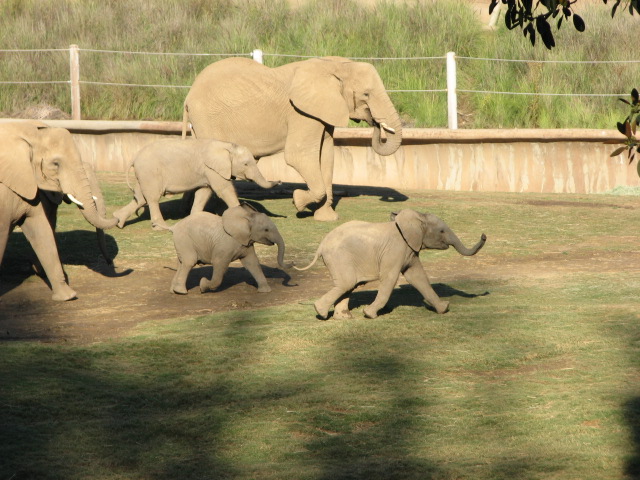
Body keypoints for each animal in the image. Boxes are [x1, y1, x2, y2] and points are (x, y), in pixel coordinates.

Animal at [112, 138, 281, 230]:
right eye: (246, 164)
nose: (278, 181)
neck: (226, 145)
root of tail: (134, 158)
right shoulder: (212, 168)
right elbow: (223, 189)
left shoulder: (207, 171)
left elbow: (204, 192)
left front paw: (195, 220)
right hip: (150, 172)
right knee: (152, 198)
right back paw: (160, 227)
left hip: (145, 175)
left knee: (140, 198)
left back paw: (118, 221)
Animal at [161, 203, 291, 295]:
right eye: (266, 230)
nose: (293, 263)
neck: (245, 217)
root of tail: (174, 227)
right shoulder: (224, 245)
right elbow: (219, 264)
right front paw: (203, 285)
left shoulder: (246, 243)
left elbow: (252, 263)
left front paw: (265, 291)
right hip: (184, 239)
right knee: (189, 261)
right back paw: (181, 292)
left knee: (181, 263)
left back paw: (174, 291)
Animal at [181, 56, 403, 222]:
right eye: (366, 94)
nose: (376, 123)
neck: (336, 66)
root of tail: (188, 95)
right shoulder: (301, 113)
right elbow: (299, 155)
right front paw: (297, 201)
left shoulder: (322, 113)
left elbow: (326, 156)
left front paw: (327, 218)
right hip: (207, 118)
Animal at [295, 209, 486, 319]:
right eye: (441, 231)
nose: (484, 235)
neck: (414, 219)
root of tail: (321, 245)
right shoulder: (395, 250)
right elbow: (390, 278)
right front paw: (369, 314)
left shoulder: (410, 249)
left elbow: (418, 277)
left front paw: (443, 309)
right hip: (339, 257)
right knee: (346, 283)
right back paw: (320, 312)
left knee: (347, 285)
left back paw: (343, 317)